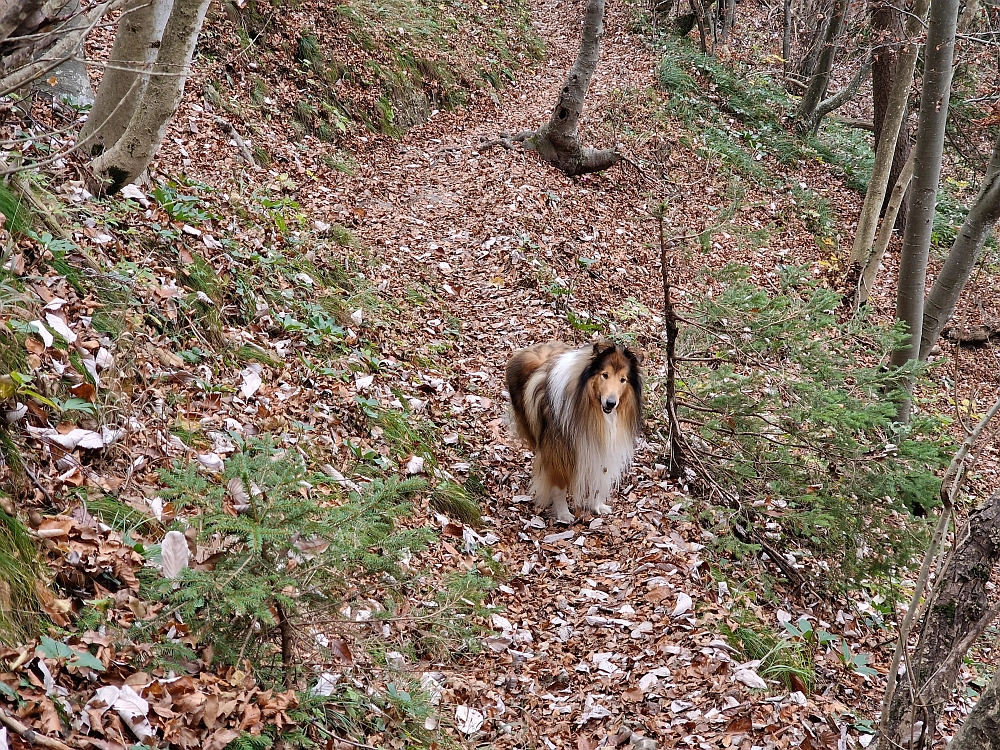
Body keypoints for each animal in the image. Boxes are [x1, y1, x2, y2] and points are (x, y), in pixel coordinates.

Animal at [508, 340, 640, 524]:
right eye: (604, 375)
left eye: (623, 379)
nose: (611, 403)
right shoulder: (558, 454)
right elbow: (559, 487)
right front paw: (563, 514)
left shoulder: (597, 449)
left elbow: (597, 478)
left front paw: (597, 505)